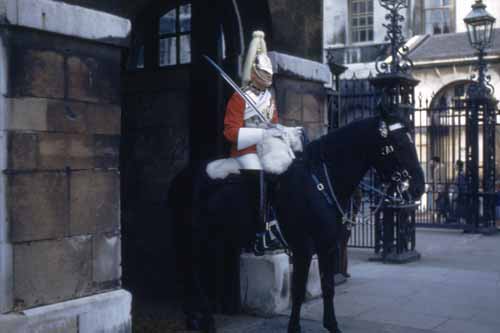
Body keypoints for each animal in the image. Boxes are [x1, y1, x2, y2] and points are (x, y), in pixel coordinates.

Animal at [174, 115, 424, 332]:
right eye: (398, 144)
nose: (419, 187)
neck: (320, 182)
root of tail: (185, 174)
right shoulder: (303, 247)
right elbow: (298, 290)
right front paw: (294, 328)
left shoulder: (326, 246)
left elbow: (327, 286)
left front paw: (332, 325)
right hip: (196, 237)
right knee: (192, 271)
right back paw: (203, 319)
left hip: (217, 237)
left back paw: (196, 318)